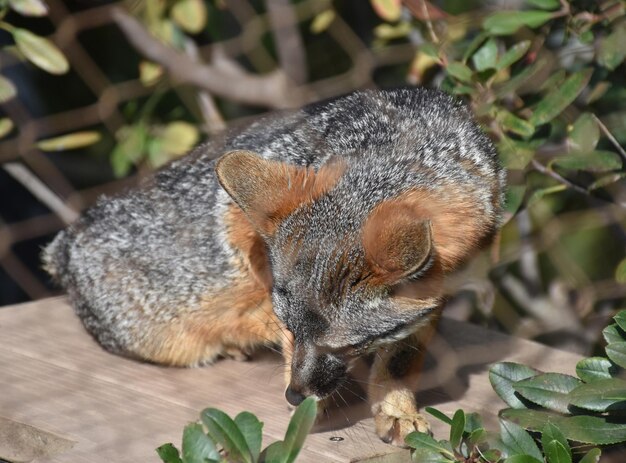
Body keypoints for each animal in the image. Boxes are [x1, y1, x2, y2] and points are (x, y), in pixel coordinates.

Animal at [42, 87, 502, 446]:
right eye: (290, 328)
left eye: (346, 346)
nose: (294, 397)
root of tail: (66, 244)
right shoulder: (244, 204)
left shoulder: (441, 288)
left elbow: (402, 356)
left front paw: (396, 406)